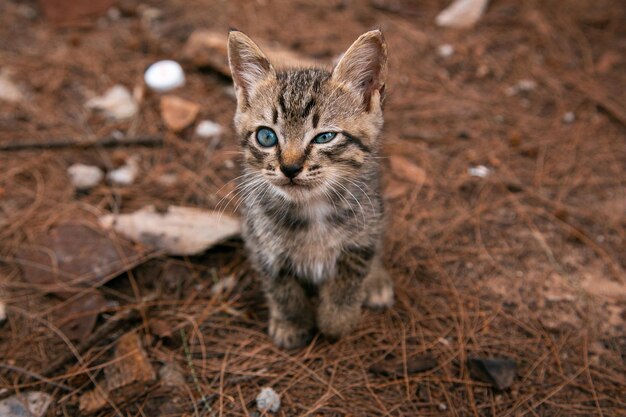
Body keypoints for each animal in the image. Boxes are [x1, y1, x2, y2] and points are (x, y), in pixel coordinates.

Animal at [225, 30, 390, 348]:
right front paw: (291, 323)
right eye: (266, 136)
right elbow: (281, 286)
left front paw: (337, 321)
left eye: (325, 137)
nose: (290, 168)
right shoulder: (261, 244)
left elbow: (349, 280)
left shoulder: (362, 237)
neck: (313, 208)